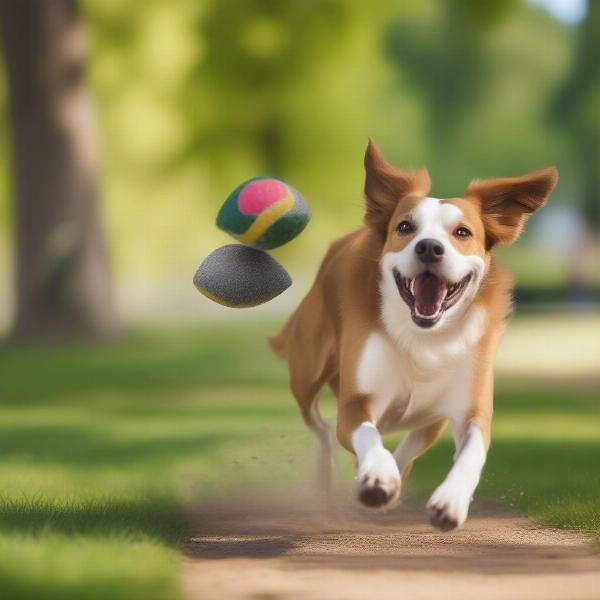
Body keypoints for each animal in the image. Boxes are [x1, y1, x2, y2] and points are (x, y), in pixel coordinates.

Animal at [270, 141, 556, 528]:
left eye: (462, 233)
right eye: (405, 227)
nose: (429, 247)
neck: (424, 338)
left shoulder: (470, 407)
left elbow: (471, 453)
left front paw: (449, 501)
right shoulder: (356, 400)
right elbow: (366, 432)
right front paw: (378, 475)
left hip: (430, 416)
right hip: (307, 375)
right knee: (323, 430)